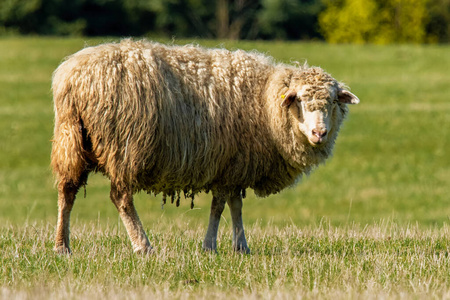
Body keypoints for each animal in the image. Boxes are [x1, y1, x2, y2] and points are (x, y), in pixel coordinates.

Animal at [51, 39, 358, 255]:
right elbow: (220, 206)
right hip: (124, 145)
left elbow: (234, 205)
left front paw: (240, 247)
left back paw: (62, 247)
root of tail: (72, 77)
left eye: (333, 102)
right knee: (121, 198)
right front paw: (211, 246)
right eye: (301, 101)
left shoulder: (234, 165)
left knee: (67, 192)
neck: (265, 100)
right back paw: (143, 246)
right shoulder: (228, 165)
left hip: (71, 139)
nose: (320, 133)